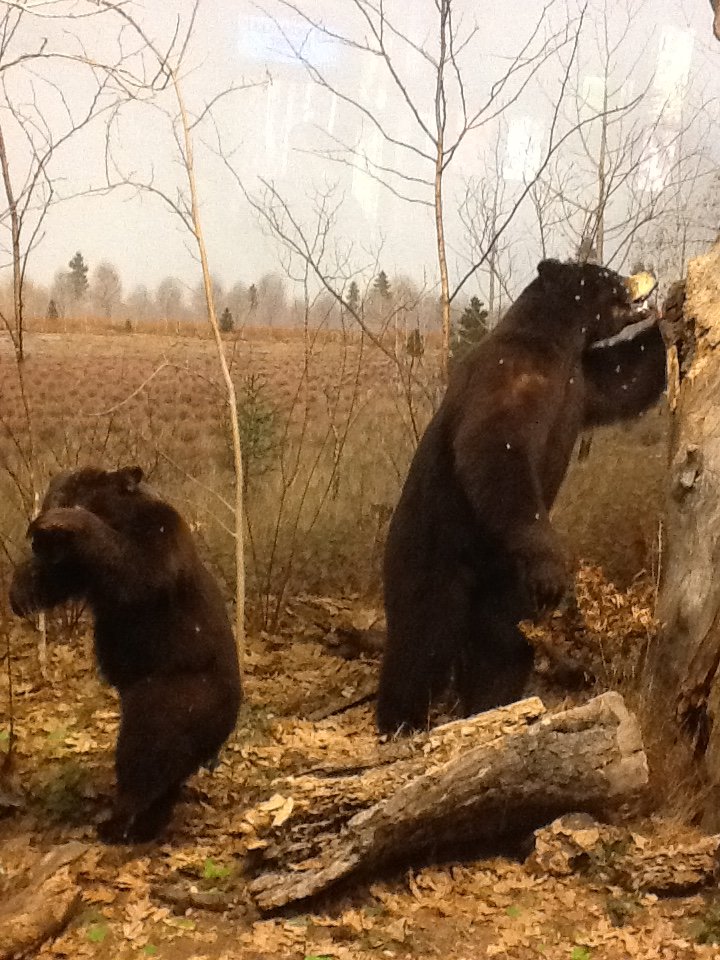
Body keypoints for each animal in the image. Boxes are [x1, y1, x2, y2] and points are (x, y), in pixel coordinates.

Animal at [9, 465, 242, 843]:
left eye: (69, 494)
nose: (36, 537)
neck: (121, 515)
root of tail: (226, 724)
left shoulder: (157, 533)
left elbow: (138, 568)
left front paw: (68, 520)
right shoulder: (80, 568)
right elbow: (60, 577)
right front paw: (21, 590)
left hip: (171, 698)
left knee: (143, 756)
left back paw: (116, 823)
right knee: (165, 778)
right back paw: (146, 825)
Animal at [376, 259, 666, 735]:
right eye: (608, 274)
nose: (648, 276)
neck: (556, 345)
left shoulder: (581, 382)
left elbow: (627, 377)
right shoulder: (506, 378)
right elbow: (494, 449)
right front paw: (553, 567)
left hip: (506, 583)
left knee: (500, 643)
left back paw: (491, 703)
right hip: (430, 555)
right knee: (422, 638)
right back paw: (401, 721)